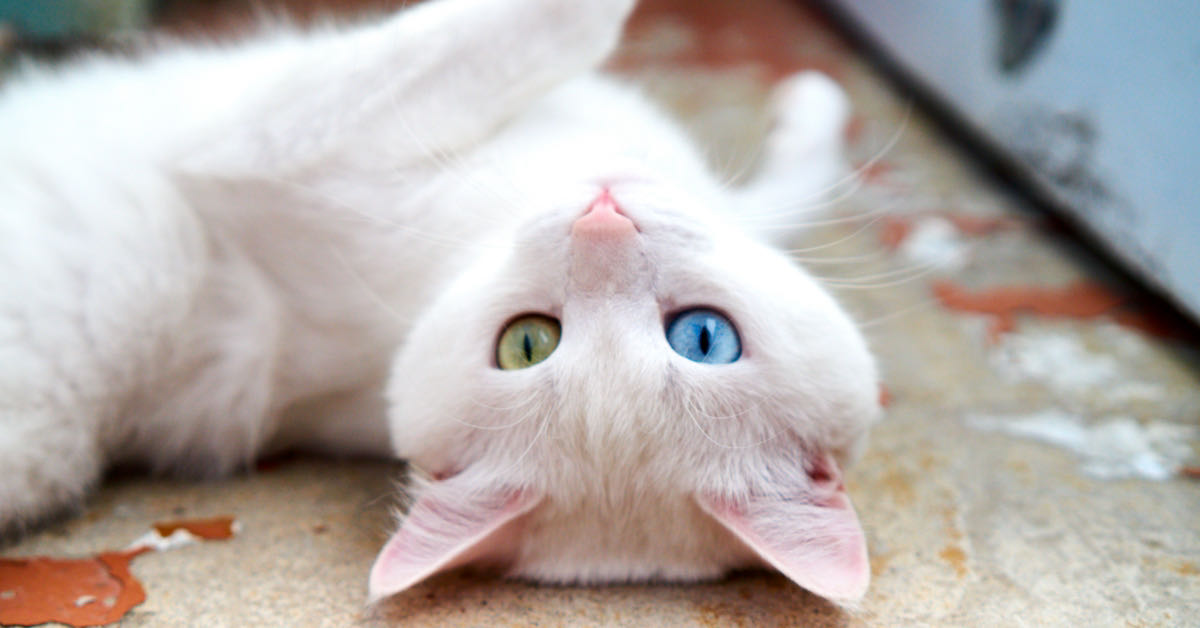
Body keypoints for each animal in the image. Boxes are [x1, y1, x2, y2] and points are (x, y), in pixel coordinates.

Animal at [0, 0, 883, 605]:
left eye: (700, 338)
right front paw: (814, 107)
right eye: (528, 343)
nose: (600, 218)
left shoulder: (252, 143)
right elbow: (781, 193)